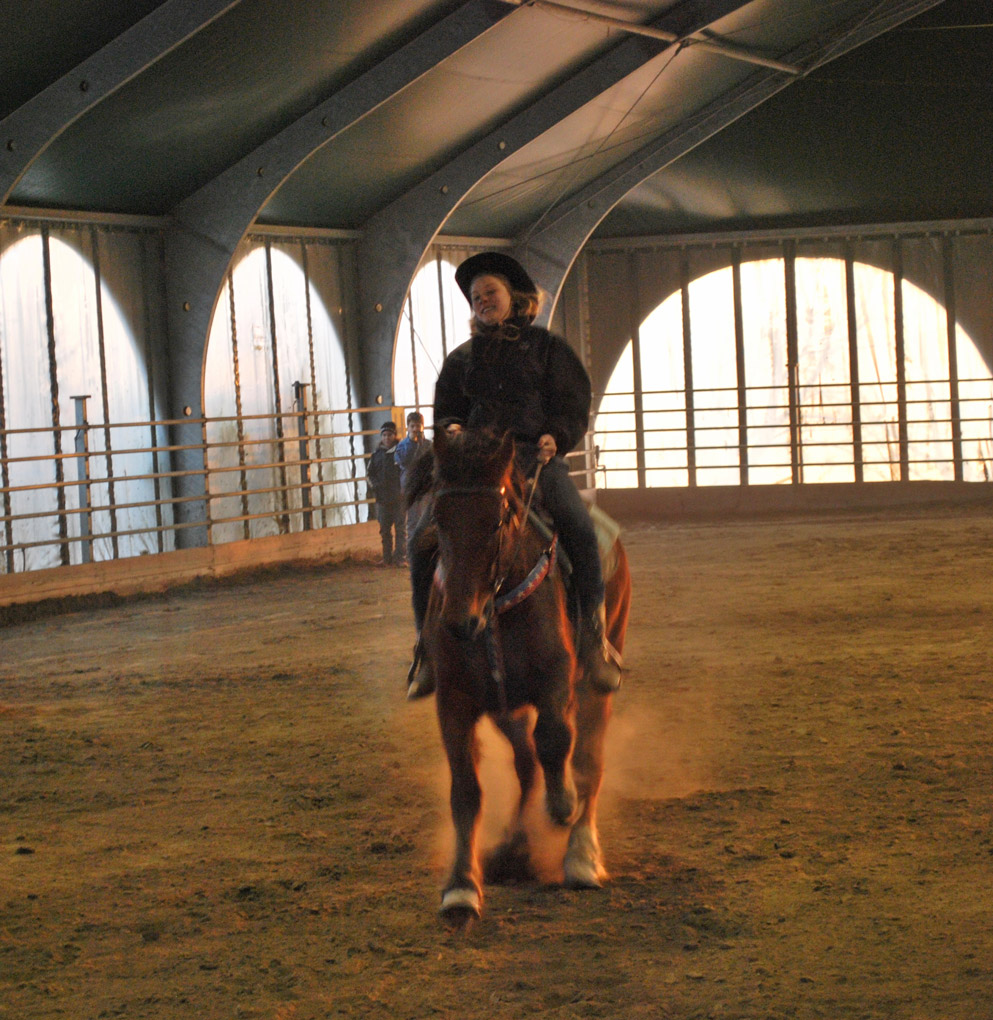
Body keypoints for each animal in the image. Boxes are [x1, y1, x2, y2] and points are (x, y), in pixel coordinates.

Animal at [419, 427, 631, 924]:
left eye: (498, 520)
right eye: (439, 516)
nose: (461, 622)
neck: (496, 609)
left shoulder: (556, 680)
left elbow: (555, 740)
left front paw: (562, 804)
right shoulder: (455, 700)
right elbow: (467, 791)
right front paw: (461, 885)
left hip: (596, 683)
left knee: (588, 760)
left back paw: (581, 854)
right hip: (502, 705)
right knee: (526, 763)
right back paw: (513, 849)